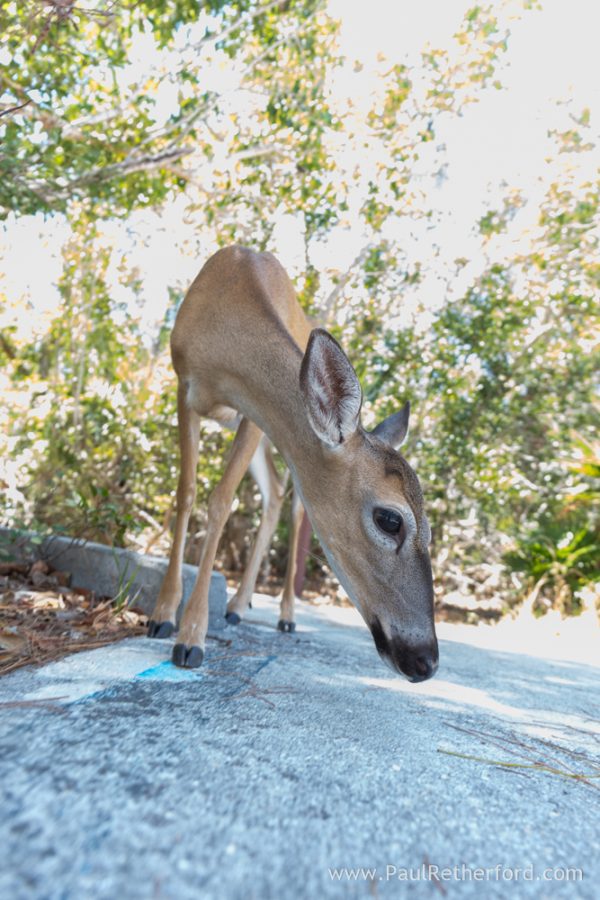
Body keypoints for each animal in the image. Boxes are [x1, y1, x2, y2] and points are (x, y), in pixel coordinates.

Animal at [147, 245, 439, 682]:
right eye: (390, 519)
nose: (427, 659)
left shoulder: (256, 414)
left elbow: (220, 501)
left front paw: (192, 636)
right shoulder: (185, 386)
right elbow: (187, 494)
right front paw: (163, 615)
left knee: (291, 506)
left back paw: (284, 614)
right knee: (274, 493)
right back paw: (237, 605)